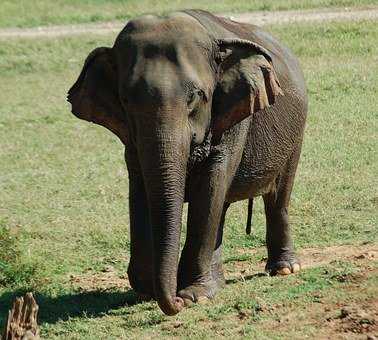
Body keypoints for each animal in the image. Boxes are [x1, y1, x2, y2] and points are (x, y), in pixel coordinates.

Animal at [67, 8, 308, 316]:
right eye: (125, 100)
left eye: (196, 97)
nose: (176, 303)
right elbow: (142, 188)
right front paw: (149, 289)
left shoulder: (232, 117)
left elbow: (211, 185)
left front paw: (194, 296)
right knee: (223, 207)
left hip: (296, 133)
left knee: (277, 196)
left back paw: (285, 269)